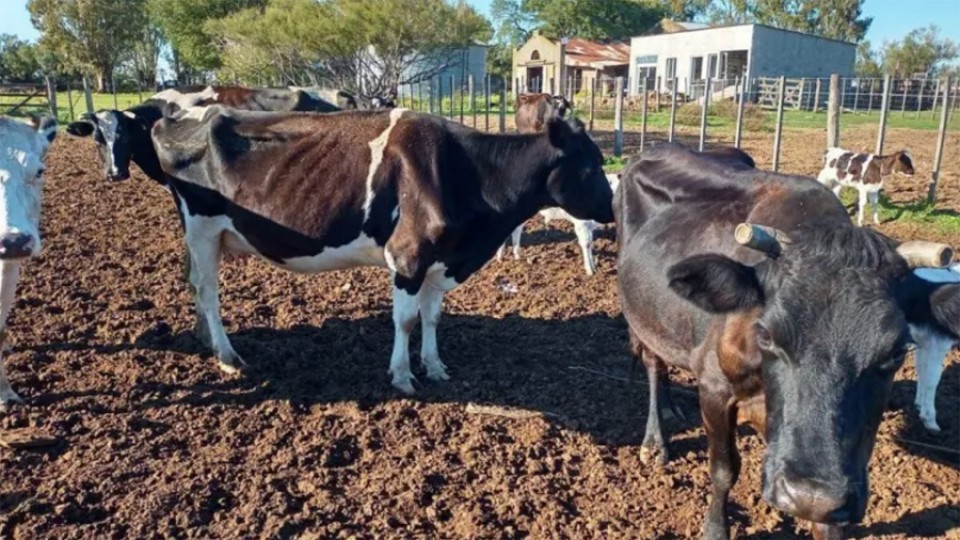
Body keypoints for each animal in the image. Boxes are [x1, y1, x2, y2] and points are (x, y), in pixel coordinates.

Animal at [496, 173, 624, 274]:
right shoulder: (581, 223)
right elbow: (586, 244)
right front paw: (590, 270)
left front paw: (593, 267)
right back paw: (500, 256)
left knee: (517, 229)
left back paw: (516, 255)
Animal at [620, 142, 956, 540]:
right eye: (765, 333)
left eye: (897, 350)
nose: (808, 495)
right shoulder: (715, 388)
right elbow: (724, 469)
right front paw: (715, 529)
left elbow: (827, 521)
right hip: (641, 318)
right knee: (653, 364)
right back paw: (655, 441)